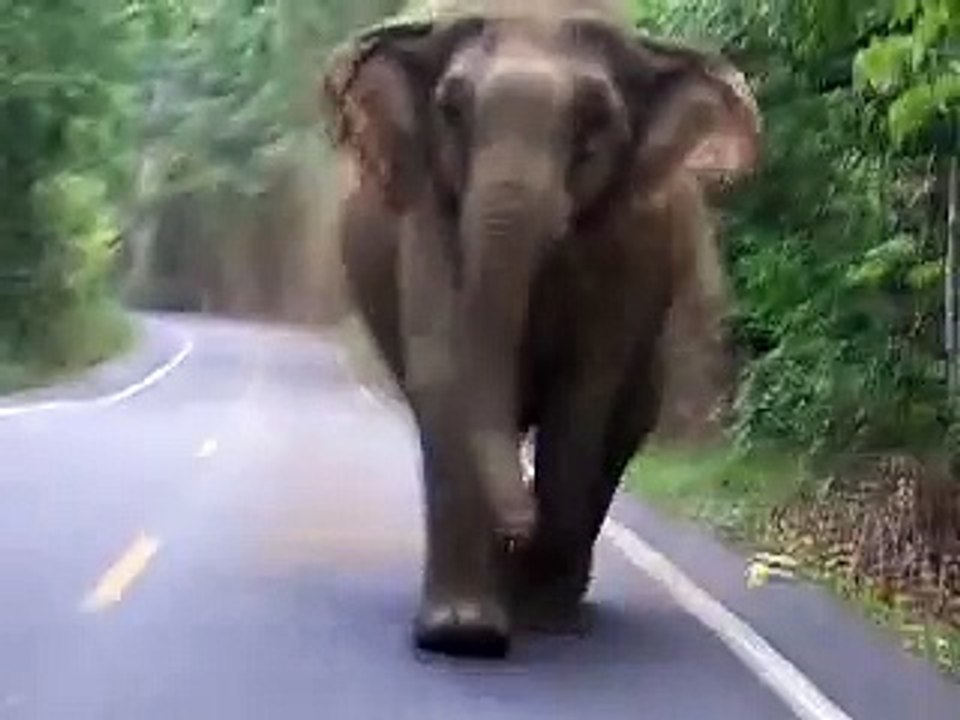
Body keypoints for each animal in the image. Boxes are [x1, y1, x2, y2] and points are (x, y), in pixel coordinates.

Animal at [320, 9, 760, 658]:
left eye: (596, 117)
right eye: (451, 108)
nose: (517, 531)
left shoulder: (629, 243)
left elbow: (583, 393)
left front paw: (537, 616)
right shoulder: (428, 216)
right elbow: (446, 371)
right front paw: (463, 635)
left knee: (620, 426)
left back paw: (557, 608)